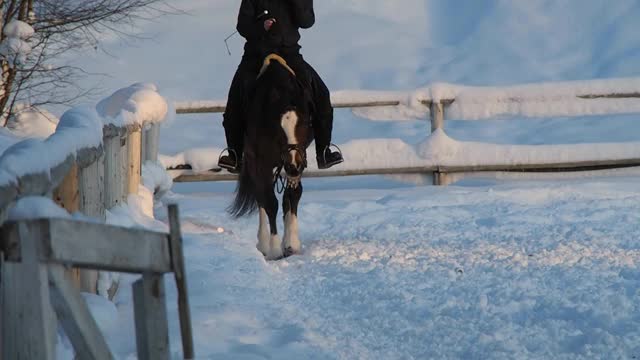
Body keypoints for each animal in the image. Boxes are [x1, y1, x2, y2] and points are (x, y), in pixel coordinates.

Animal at [229, 52, 314, 258]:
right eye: (279, 130)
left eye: (304, 125)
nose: (294, 165)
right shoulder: (262, 164)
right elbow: (270, 202)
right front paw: (275, 249)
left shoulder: (297, 162)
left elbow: (292, 196)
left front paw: (291, 243)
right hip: (255, 163)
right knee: (261, 198)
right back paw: (263, 243)